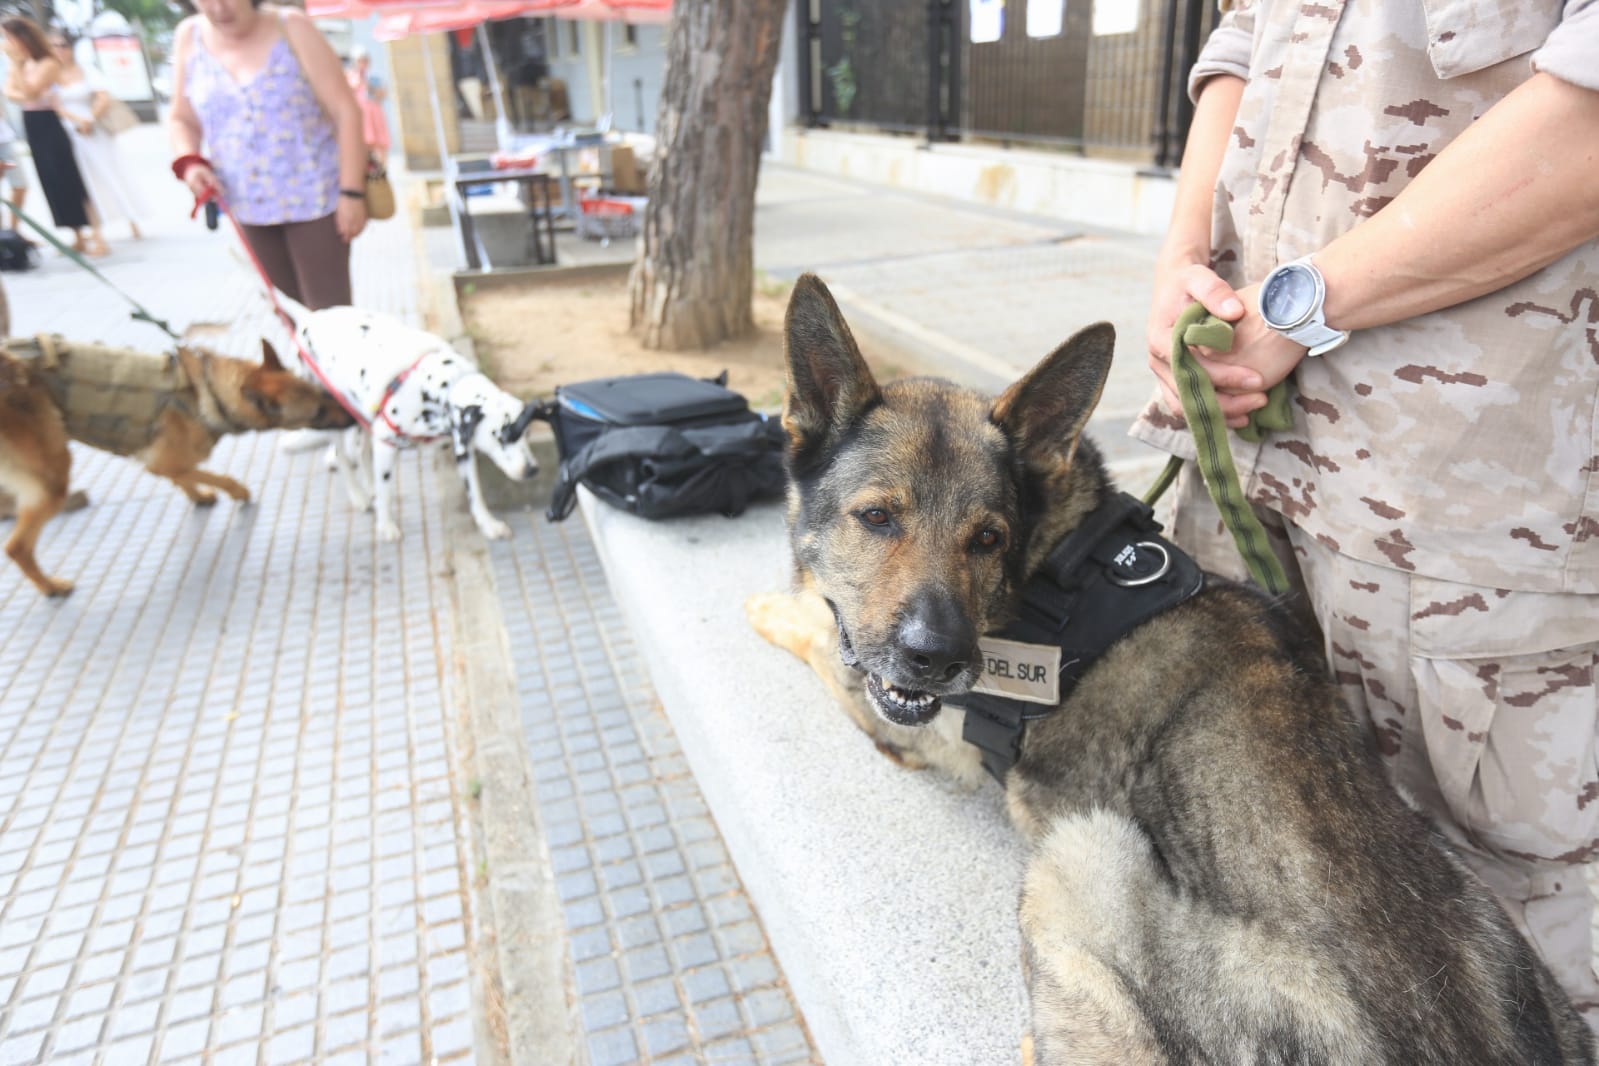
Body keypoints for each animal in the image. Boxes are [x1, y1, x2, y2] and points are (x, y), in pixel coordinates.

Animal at [0, 334, 351, 597]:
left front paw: (198, 495)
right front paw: (236, 490)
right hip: (52, 477)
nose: (352, 414)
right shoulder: (165, 461)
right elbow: (205, 473)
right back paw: (50, 587)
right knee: (17, 547)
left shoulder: (164, 462)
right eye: (318, 412)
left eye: (322, 393)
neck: (205, 391)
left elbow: (184, 475)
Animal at [275, 298, 543, 543]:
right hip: (335, 417)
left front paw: (488, 524)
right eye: (502, 437)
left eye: (527, 433)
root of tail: (310, 317)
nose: (532, 469)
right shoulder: (386, 444)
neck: (439, 386)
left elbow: (475, 493)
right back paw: (359, 496)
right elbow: (385, 491)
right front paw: (385, 525)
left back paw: (369, 486)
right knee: (343, 458)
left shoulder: (463, 450)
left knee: (361, 453)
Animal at [748, 278, 1599, 1066]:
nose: (939, 659)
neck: (1054, 557)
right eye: (876, 518)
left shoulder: (909, 729)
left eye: (987, 538)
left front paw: (769, 604)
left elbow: (819, 635)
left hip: (1080, 854)